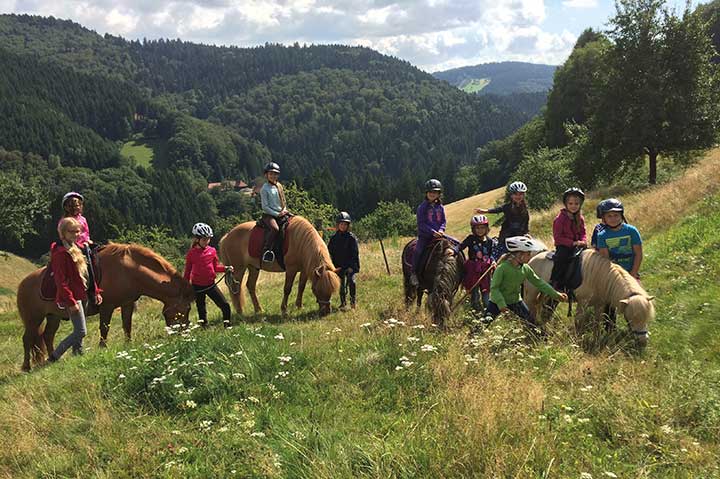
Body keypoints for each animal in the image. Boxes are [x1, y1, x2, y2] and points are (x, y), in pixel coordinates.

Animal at [16, 244, 195, 372]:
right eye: (185, 309)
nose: (183, 333)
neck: (127, 271)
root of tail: (23, 284)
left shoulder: (127, 303)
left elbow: (127, 325)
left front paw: (128, 345)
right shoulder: (107, 306)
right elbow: (104, 327)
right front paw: (103, 347)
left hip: (53, 316)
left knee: (47, 336)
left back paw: (54, 358)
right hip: (33, 319)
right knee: (27, 339)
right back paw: (26, 367)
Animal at [524, 249, 656, 346]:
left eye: (646, 318)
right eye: (631, 318)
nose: (643, 341)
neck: (599, 277)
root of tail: (530, 261)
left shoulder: (599, 304)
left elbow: (597, 323)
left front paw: (596, 340)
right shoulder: (582, 302)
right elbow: (579, 322)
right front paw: (577, 341)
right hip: (531, 294)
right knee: (531, 310)